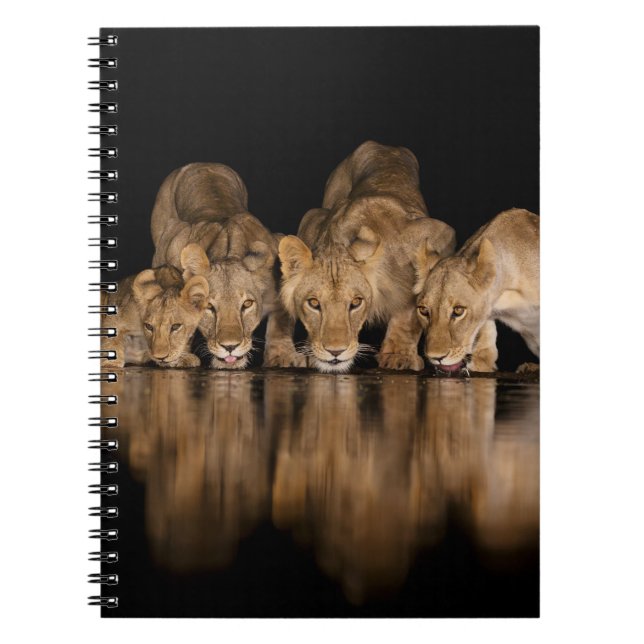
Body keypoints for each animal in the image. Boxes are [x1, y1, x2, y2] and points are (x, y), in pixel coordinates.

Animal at [151, 162, 304, 369]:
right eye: (209, 306)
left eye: (247, 304)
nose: (230, 347)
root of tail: (203, 163)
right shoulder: (173, 245)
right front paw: (178, 356)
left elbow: (281, 322)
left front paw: (282, 356)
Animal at [278, 140, 456, 372]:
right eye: (314, 304)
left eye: (355, 303)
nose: (335, 351)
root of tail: (385, 146)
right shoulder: (313, 219)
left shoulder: (440, 235)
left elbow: (409, 313)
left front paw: (399, 355)